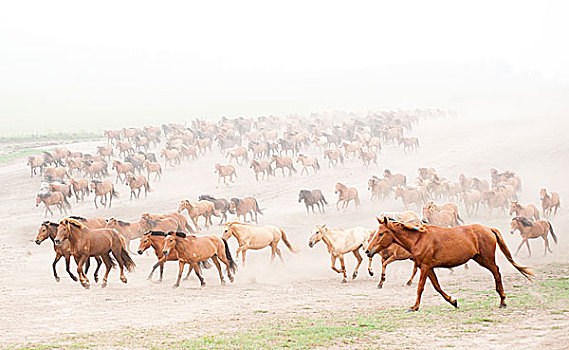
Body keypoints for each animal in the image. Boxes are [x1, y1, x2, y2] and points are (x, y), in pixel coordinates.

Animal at [364, 217, 532, 310]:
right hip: (479, 258)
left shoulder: (425, 267)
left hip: (486, 258)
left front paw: (414, 307)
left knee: (496, 272)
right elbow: (437, 287)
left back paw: (502, 300)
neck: (419, 239)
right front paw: (453, 302)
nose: (367, 251)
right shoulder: (428, 267)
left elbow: (420, 288)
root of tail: (488, 229)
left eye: (381, 233)